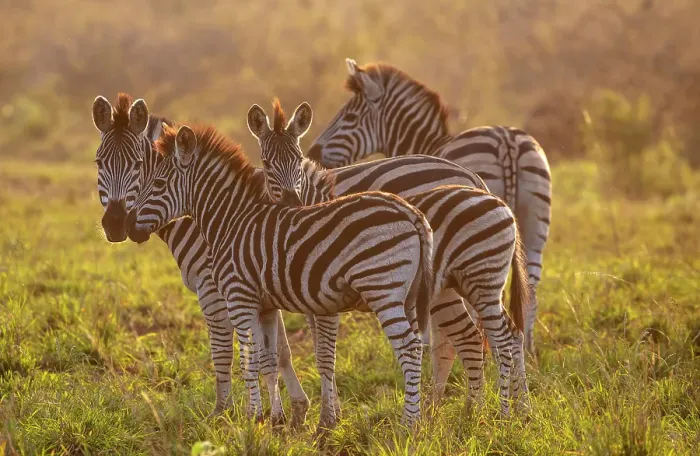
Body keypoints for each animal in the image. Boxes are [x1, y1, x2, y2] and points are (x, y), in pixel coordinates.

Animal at [126, 120, 435, 432]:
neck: (231, 221)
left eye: (158, 184)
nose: (128, 227)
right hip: (408, 296)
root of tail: (410, 211)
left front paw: (252, 419)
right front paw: (273, 420)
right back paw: (419, 420)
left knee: (409, 349)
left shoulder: (239, 298)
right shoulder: (265, 306)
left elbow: (248, 361)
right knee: (418, 348)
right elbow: (269, 358)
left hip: (383, 289)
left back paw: (408, 424)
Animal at [252, 99, 530, 416]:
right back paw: (515, 410)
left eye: (298, 160)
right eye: (267, 163)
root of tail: (475, 179)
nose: (291, 204)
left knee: (477, 339)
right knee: (502, 335)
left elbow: (308, 350)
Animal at [307, 59, 552, 354]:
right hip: (534, 223)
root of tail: (506, 141)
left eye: (350, 118)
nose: (312, 153)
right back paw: (529, 350)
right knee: (529, 284)